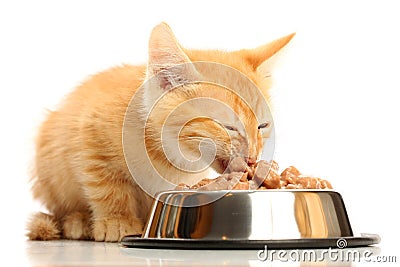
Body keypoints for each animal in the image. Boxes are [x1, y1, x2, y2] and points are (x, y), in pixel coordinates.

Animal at [25, 22, 294, 242]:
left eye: (262, 126)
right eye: (228, 126)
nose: (253, 157)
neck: (171, 152)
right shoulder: (90, 140)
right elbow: (106, 186)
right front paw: (117, 219)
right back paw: (78, 221)